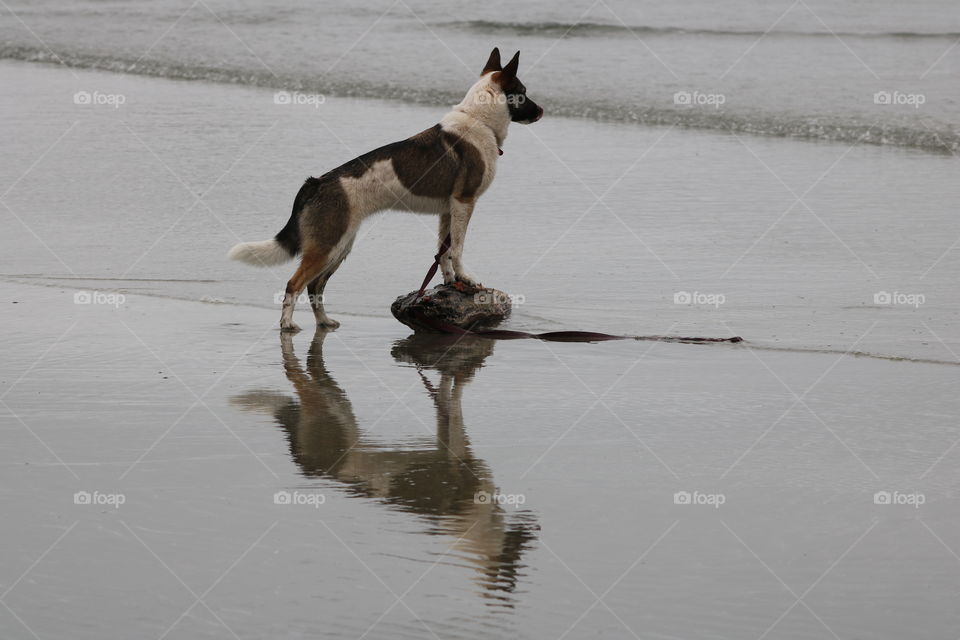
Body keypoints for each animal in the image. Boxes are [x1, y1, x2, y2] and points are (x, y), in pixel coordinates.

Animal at [225, 47, 540, 332]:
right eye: (523, 92)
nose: (542, 111)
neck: (479, 120)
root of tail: (317, 182)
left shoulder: (448, 210)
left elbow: (443, 252)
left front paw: (452, 281)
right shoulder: (464, 202)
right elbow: (458, 249)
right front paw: (466, 278)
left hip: (340, 245)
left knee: (315, 285)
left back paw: (324, 322)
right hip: (327, 246)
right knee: (295, 284)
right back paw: (287, 324)